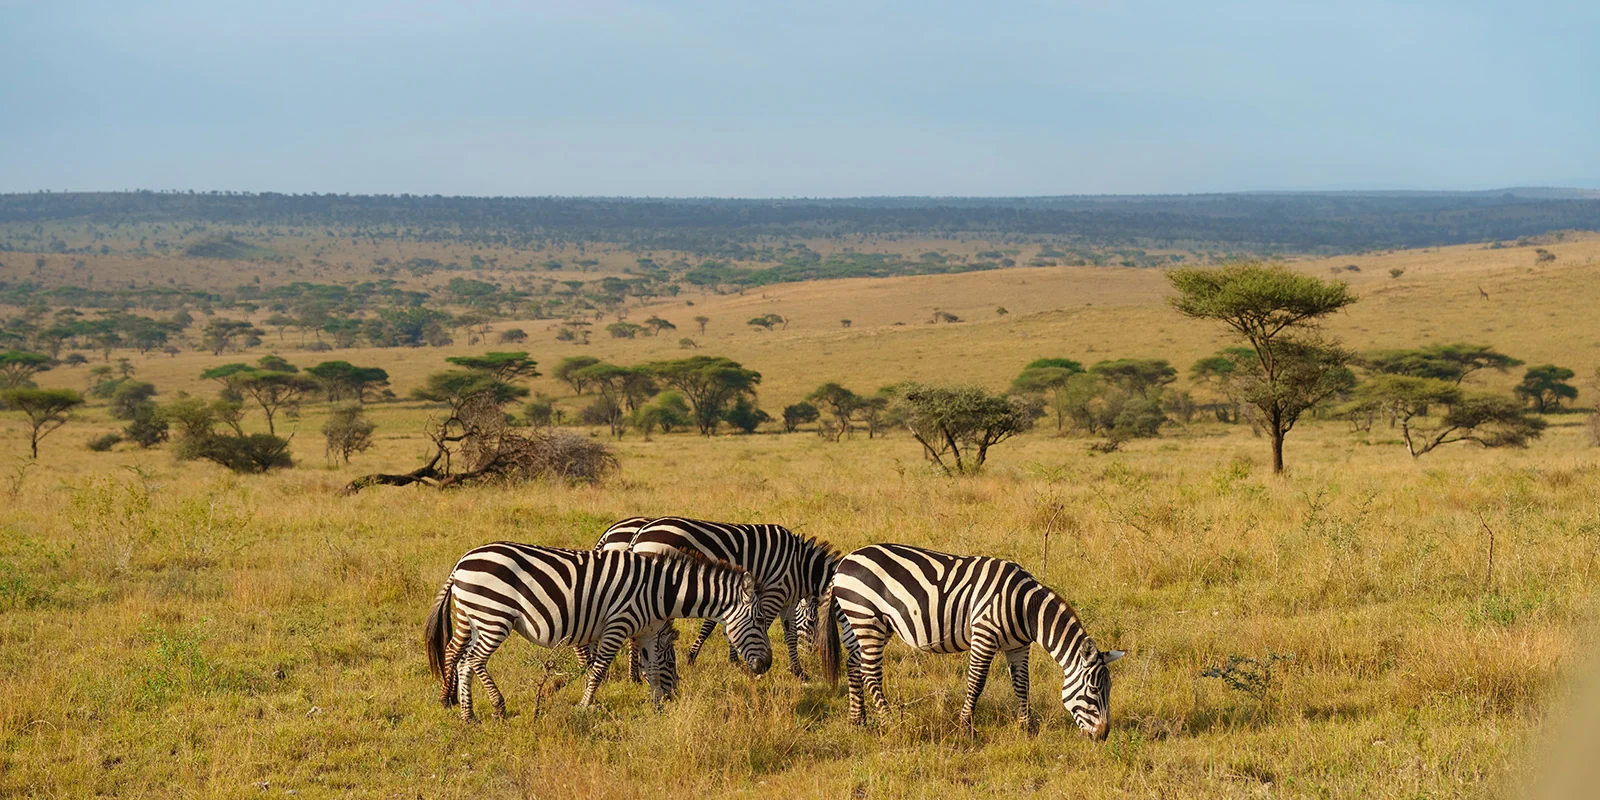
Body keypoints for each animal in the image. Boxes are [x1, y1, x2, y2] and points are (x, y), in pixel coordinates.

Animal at [424, 542, 772, 721]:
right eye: (757, 620)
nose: (767, 665)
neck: (661, 592)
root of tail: (463, 560)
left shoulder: (647, 631)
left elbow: (651, 670)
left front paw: (657, 707)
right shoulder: (618, 624)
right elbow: (599, 670)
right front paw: (585, 705)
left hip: (471, 615)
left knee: (458, 657)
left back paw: (463, 710)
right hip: (494, 616)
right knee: (473, 661)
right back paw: (495, 707)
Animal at [594, 516, 838, 682]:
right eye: (813, 622)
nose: (813, 653)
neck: (801, 566)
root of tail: (639, 532)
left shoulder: (785, 600)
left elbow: (789, 635)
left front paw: (798, 672)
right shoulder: (772, 593)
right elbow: (758, 627)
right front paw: (751, 666)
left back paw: (633, 674)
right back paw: (634, 675)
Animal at [818, 543, 1125, 738]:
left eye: (1109, 690)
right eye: (1094, 690)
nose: (1103, 736)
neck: (1026, 608)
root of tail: (843, 563)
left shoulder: (1018, 646)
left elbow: (1022, 685)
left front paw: (1026, 728)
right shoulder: (984, 635)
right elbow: (976, 683)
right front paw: (966, 728)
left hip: (856, 621)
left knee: (854, 665)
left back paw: (858, 721)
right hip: (867, 618)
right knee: (870, 672)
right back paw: (893, 722)